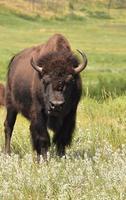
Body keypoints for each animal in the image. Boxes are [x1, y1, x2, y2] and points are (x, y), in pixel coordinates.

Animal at [4, 33, 87, 161]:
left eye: (70, 81)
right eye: (45, 80)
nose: (56, 105)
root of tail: (14, 60)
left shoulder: (70, 113)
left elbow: (62, 137)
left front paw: (61, 158)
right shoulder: (39, 113)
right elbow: (43, 137)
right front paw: (43, 159)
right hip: (11, 105)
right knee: (9, 126)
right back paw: (7, 153)